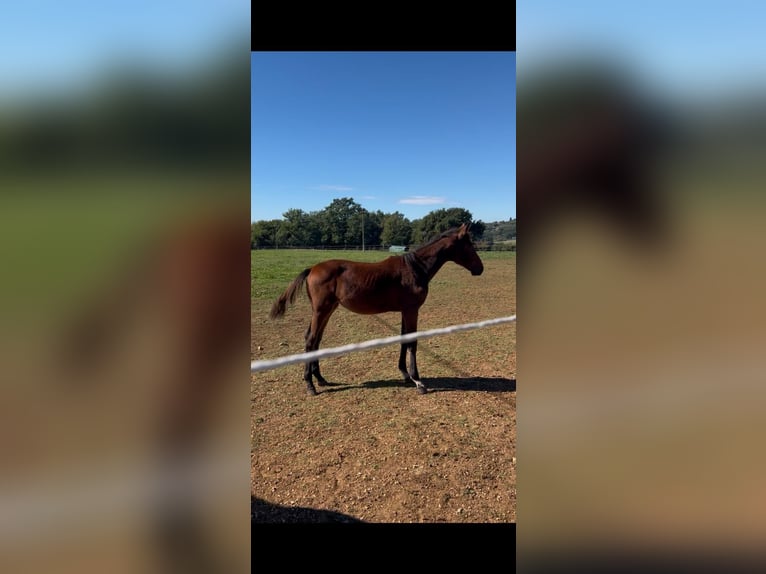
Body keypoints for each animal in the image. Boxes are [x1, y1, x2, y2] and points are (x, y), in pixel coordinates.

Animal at [269, 222, 484, 395]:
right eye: (469, 245)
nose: (480, 268)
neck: (415, 269)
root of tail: (312, 269)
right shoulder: (412, 310)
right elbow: (412, 342)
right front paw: (418, 381)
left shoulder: (405, 311)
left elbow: (403, 339)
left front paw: (405, 374)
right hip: (321, 310)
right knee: (311, 340)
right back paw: (310, 385)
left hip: (327, 310)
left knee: (315, 340)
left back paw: (321, 379)